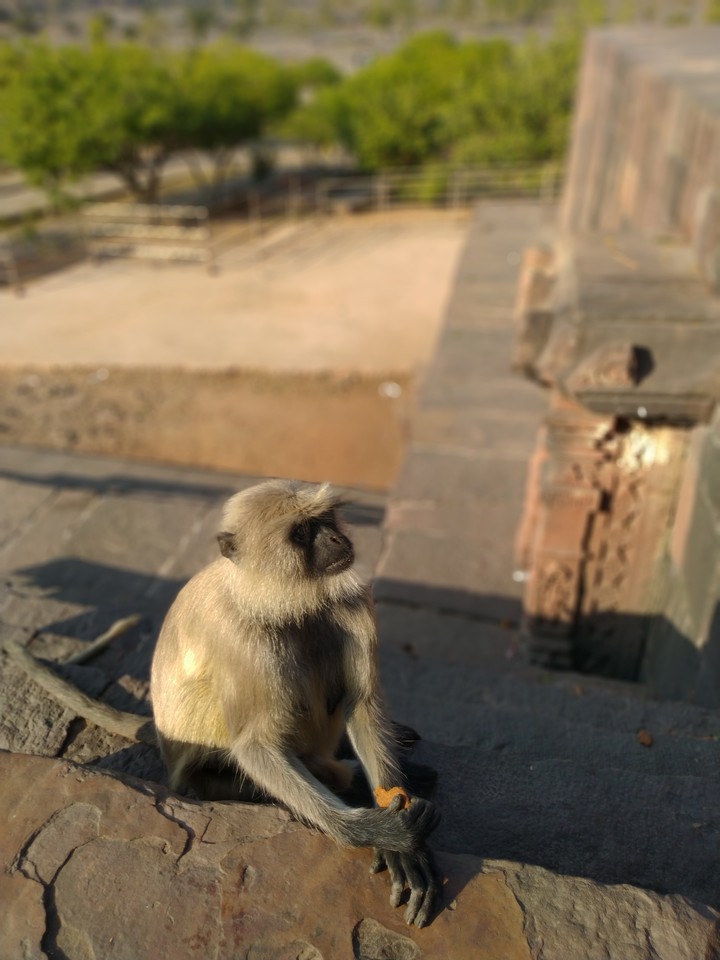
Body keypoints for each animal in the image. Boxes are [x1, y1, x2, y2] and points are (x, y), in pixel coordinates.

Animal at [4, 480, 441, 927]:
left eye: (327, 520)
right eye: (302, 533)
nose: (337, 539)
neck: (280, 598)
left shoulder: (349, 602)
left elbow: (363, 703)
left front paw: (404, 846)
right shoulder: (244, 641)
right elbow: (253, 747)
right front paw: (375, 833)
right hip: (204, 771)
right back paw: (341, 774)